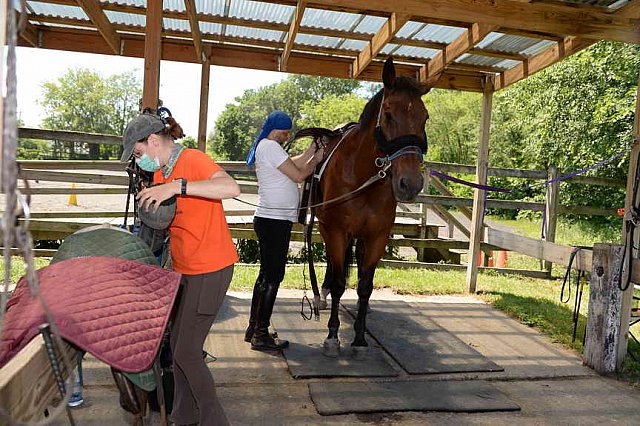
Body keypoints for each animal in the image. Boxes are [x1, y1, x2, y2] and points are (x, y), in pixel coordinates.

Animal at [296, 56, 436, 356]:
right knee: (333, 270)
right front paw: (333, 336)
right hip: (329, 230)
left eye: (425, 117)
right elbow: (340, 284)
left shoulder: (376, 237)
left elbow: (364, 286)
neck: (362, 176)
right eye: (389, 114)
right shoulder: (336, 231)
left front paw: (360, 336)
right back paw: (323, 294)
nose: (410, 183)